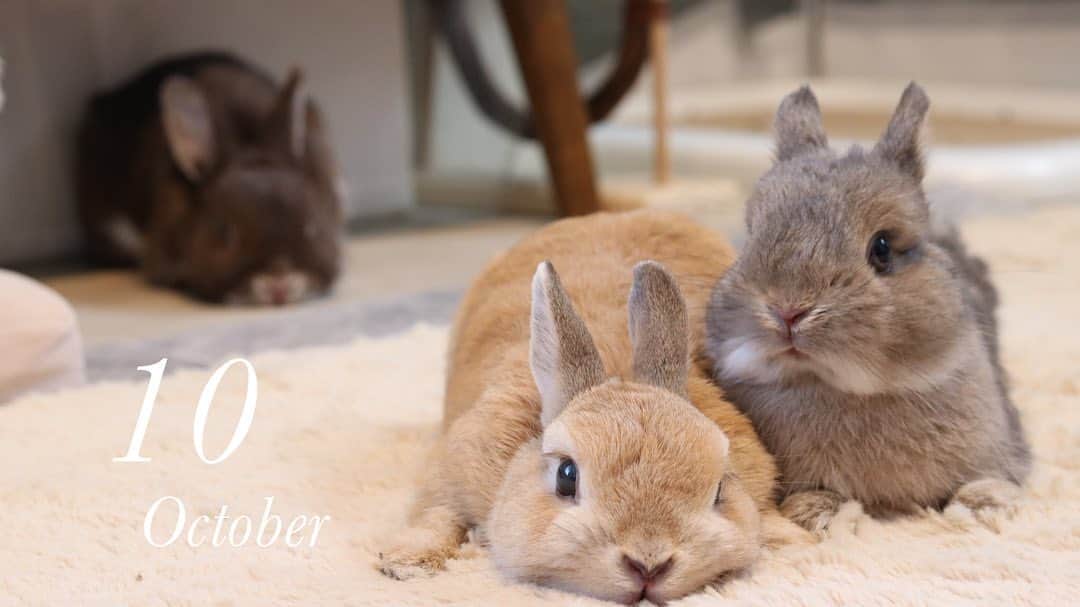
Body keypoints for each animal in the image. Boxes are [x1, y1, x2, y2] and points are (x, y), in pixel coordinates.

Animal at [378, 210, 809, 604]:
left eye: (719, 488)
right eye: (566, 477)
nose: (648, 562)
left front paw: (791, 539)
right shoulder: (453, 465)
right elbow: (436, 511)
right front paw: (405, 562)